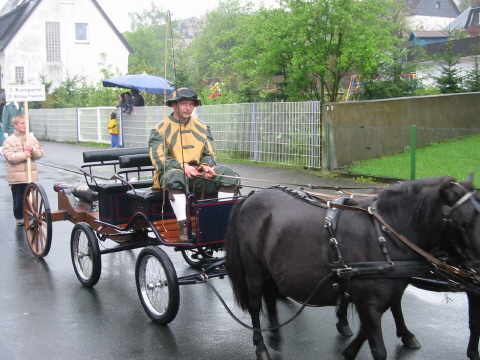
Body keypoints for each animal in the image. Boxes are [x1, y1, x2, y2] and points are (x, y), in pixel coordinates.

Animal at [225, 177, 480, 360]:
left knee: (270, 297)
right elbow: (378, 348)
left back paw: (276, 336)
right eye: (463, 223)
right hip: (254, 270)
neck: (385, 235)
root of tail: (251, 197)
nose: (477, 272)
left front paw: (348, 350)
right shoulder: (369, 301)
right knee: (256, 305)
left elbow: (367, 329)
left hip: (270, 269)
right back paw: (261, 347)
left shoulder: (373, 299)